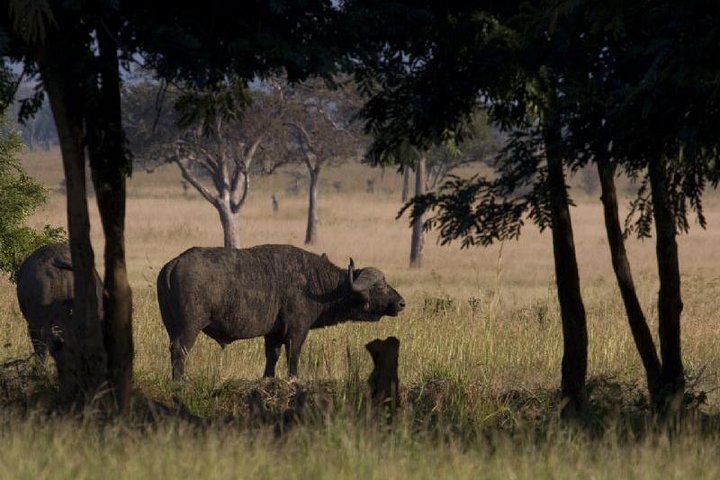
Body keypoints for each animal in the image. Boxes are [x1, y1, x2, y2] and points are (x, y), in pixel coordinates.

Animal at [157, 246, 404, 380]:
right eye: (380, 286)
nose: (401, 303)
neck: (317, 283)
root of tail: (174, 263)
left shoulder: (273, 334)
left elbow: (272, 357)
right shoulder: (297, 330)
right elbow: (293, 356)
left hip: (171, 328)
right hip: (189, 329)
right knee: (181, 351)